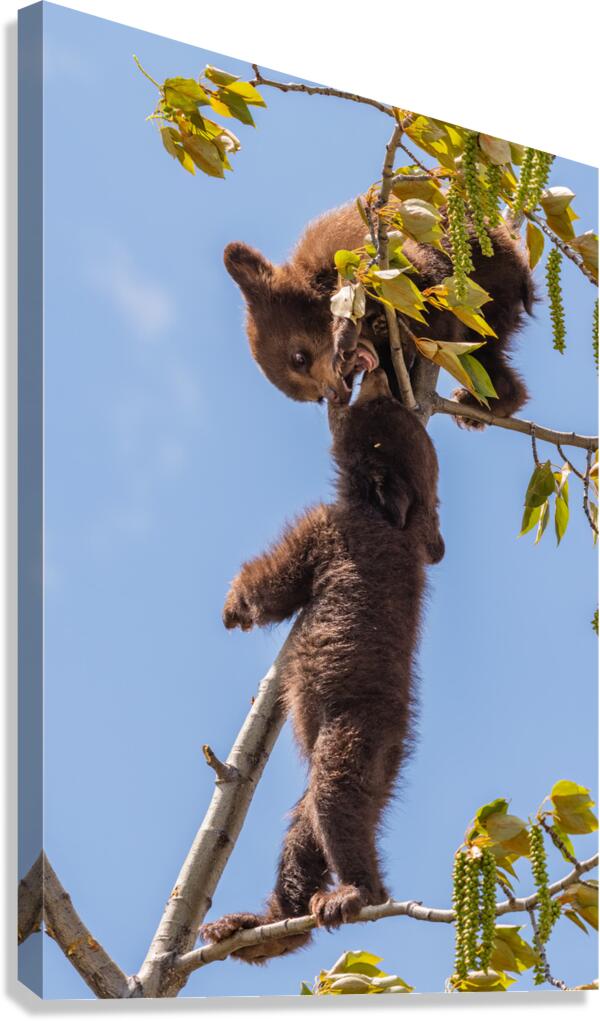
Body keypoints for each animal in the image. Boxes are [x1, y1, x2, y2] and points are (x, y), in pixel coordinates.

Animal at [199, 368, 444, 964]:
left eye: (376, 418)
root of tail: (395, 748)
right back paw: (262, 925)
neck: (398, 522)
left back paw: (356, 892)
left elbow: (276, 583)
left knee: (334, 797)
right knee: (305, 828)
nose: (376, 381)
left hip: (355, 731)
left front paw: (234, 607)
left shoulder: (328, 529)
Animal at [223, 200, 534, 424]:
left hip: (482, 271)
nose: (337, 395)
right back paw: (489, 401)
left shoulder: (351, 243)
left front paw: (348, 328)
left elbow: (402, 268)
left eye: (299, 358)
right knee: (484, 354)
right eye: (316, 397)